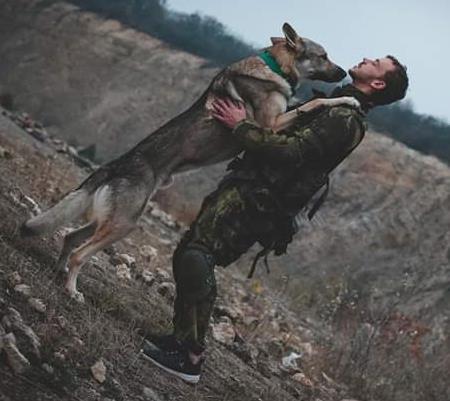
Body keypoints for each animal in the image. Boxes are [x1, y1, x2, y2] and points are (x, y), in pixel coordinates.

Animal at [21, 21, 360, 300]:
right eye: (324, 56)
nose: (345, 73)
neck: (275, 66)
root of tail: (114, 166)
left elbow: (305, 104)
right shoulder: (272, 125)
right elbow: (315, 103)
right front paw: (348, 99)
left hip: (108, 220)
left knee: (69, 237)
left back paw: (58, 272)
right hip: (123, 223)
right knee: (80, 253)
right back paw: (71, 290)